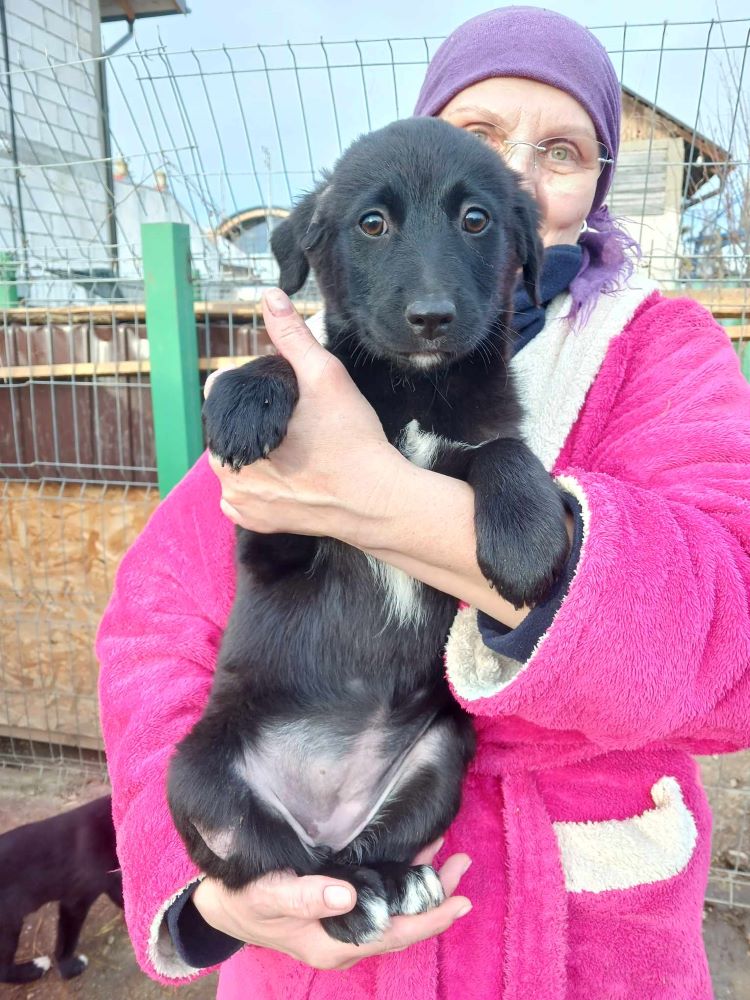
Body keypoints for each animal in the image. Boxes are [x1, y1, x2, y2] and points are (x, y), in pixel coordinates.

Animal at [0, 796, 122, 984]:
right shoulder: (75, 901)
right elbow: (67, 941)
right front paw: (69, 967)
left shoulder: (110, 880)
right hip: (8, 923)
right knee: (2, 969)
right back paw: (36, 968)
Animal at [170, 117, 568, 944]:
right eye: (372, 224)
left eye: (475, 219)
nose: (431, 317)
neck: (415, 386)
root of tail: (326, 809)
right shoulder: (273, 538)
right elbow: (298, 358)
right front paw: (248, 393)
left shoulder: (475, 438)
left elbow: (503, 450)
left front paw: (526, 536)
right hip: (198, 776)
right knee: (286, 865)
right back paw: (353, 905)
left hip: (442, 755)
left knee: (357, 850)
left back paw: (394, 881)